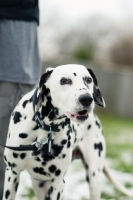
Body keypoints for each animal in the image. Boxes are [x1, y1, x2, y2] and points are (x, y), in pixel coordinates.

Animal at [2, 65, 133, 199]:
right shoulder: (12, 174)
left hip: (94, 178)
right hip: (39, 184)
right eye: (64, 80)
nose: (87, 99)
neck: (46, 128)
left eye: (88, 79)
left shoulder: (58, 182)